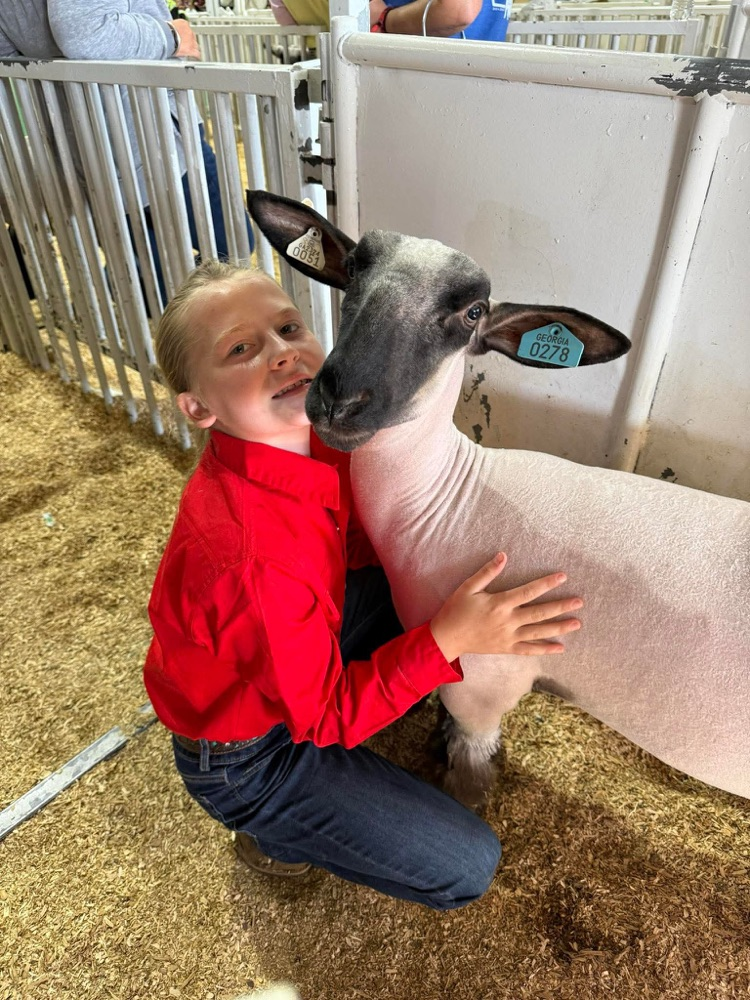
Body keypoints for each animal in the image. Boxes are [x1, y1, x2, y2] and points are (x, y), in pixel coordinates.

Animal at [247, 191, 750, 809]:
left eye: (473, 312)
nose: (341, 401)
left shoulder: (485, 683)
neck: (448, 502)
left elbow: (468, 771)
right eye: (356, 269)